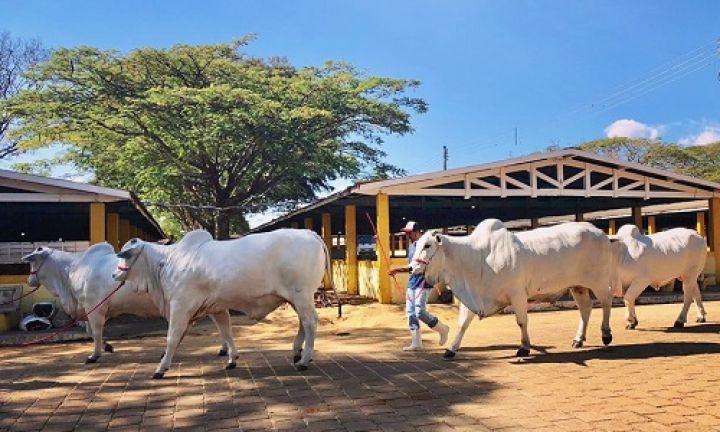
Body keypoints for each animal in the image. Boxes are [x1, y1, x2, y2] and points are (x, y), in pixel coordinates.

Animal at [21, 245, 236, 362]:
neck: (70, 271)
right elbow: (90, 331)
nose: (29, 281)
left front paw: (95, 355)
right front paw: (107, 346)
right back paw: (224, 349)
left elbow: (95, 331)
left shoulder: (93, 307)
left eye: (32, 261)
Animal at [113, 230, 338, 378]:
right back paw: (297, 352)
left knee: (310, 322)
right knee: (303, 322)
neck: (165, 262)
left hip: (301, 294)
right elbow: (226, 331)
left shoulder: (180, 305)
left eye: (125, 255)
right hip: (297, 298)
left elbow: (172, 337)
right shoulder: (217, 307)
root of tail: (309, 233)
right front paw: (232, 359)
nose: (115, 275)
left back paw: (304, 360)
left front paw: (161, 368)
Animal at [410, 219, 612, 358]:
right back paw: (578, 339)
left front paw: (524, 347)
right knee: (585, 308)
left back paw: (606, 334)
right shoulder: (474, 298)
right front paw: (451, 349)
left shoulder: (517, 294)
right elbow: (463, 324)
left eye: (427, 245)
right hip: (578, 286)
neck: (479, 257)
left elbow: (522, 321)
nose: (411, 268)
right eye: (417, 244)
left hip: (600, 281)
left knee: (606, 302)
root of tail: (599, 232)